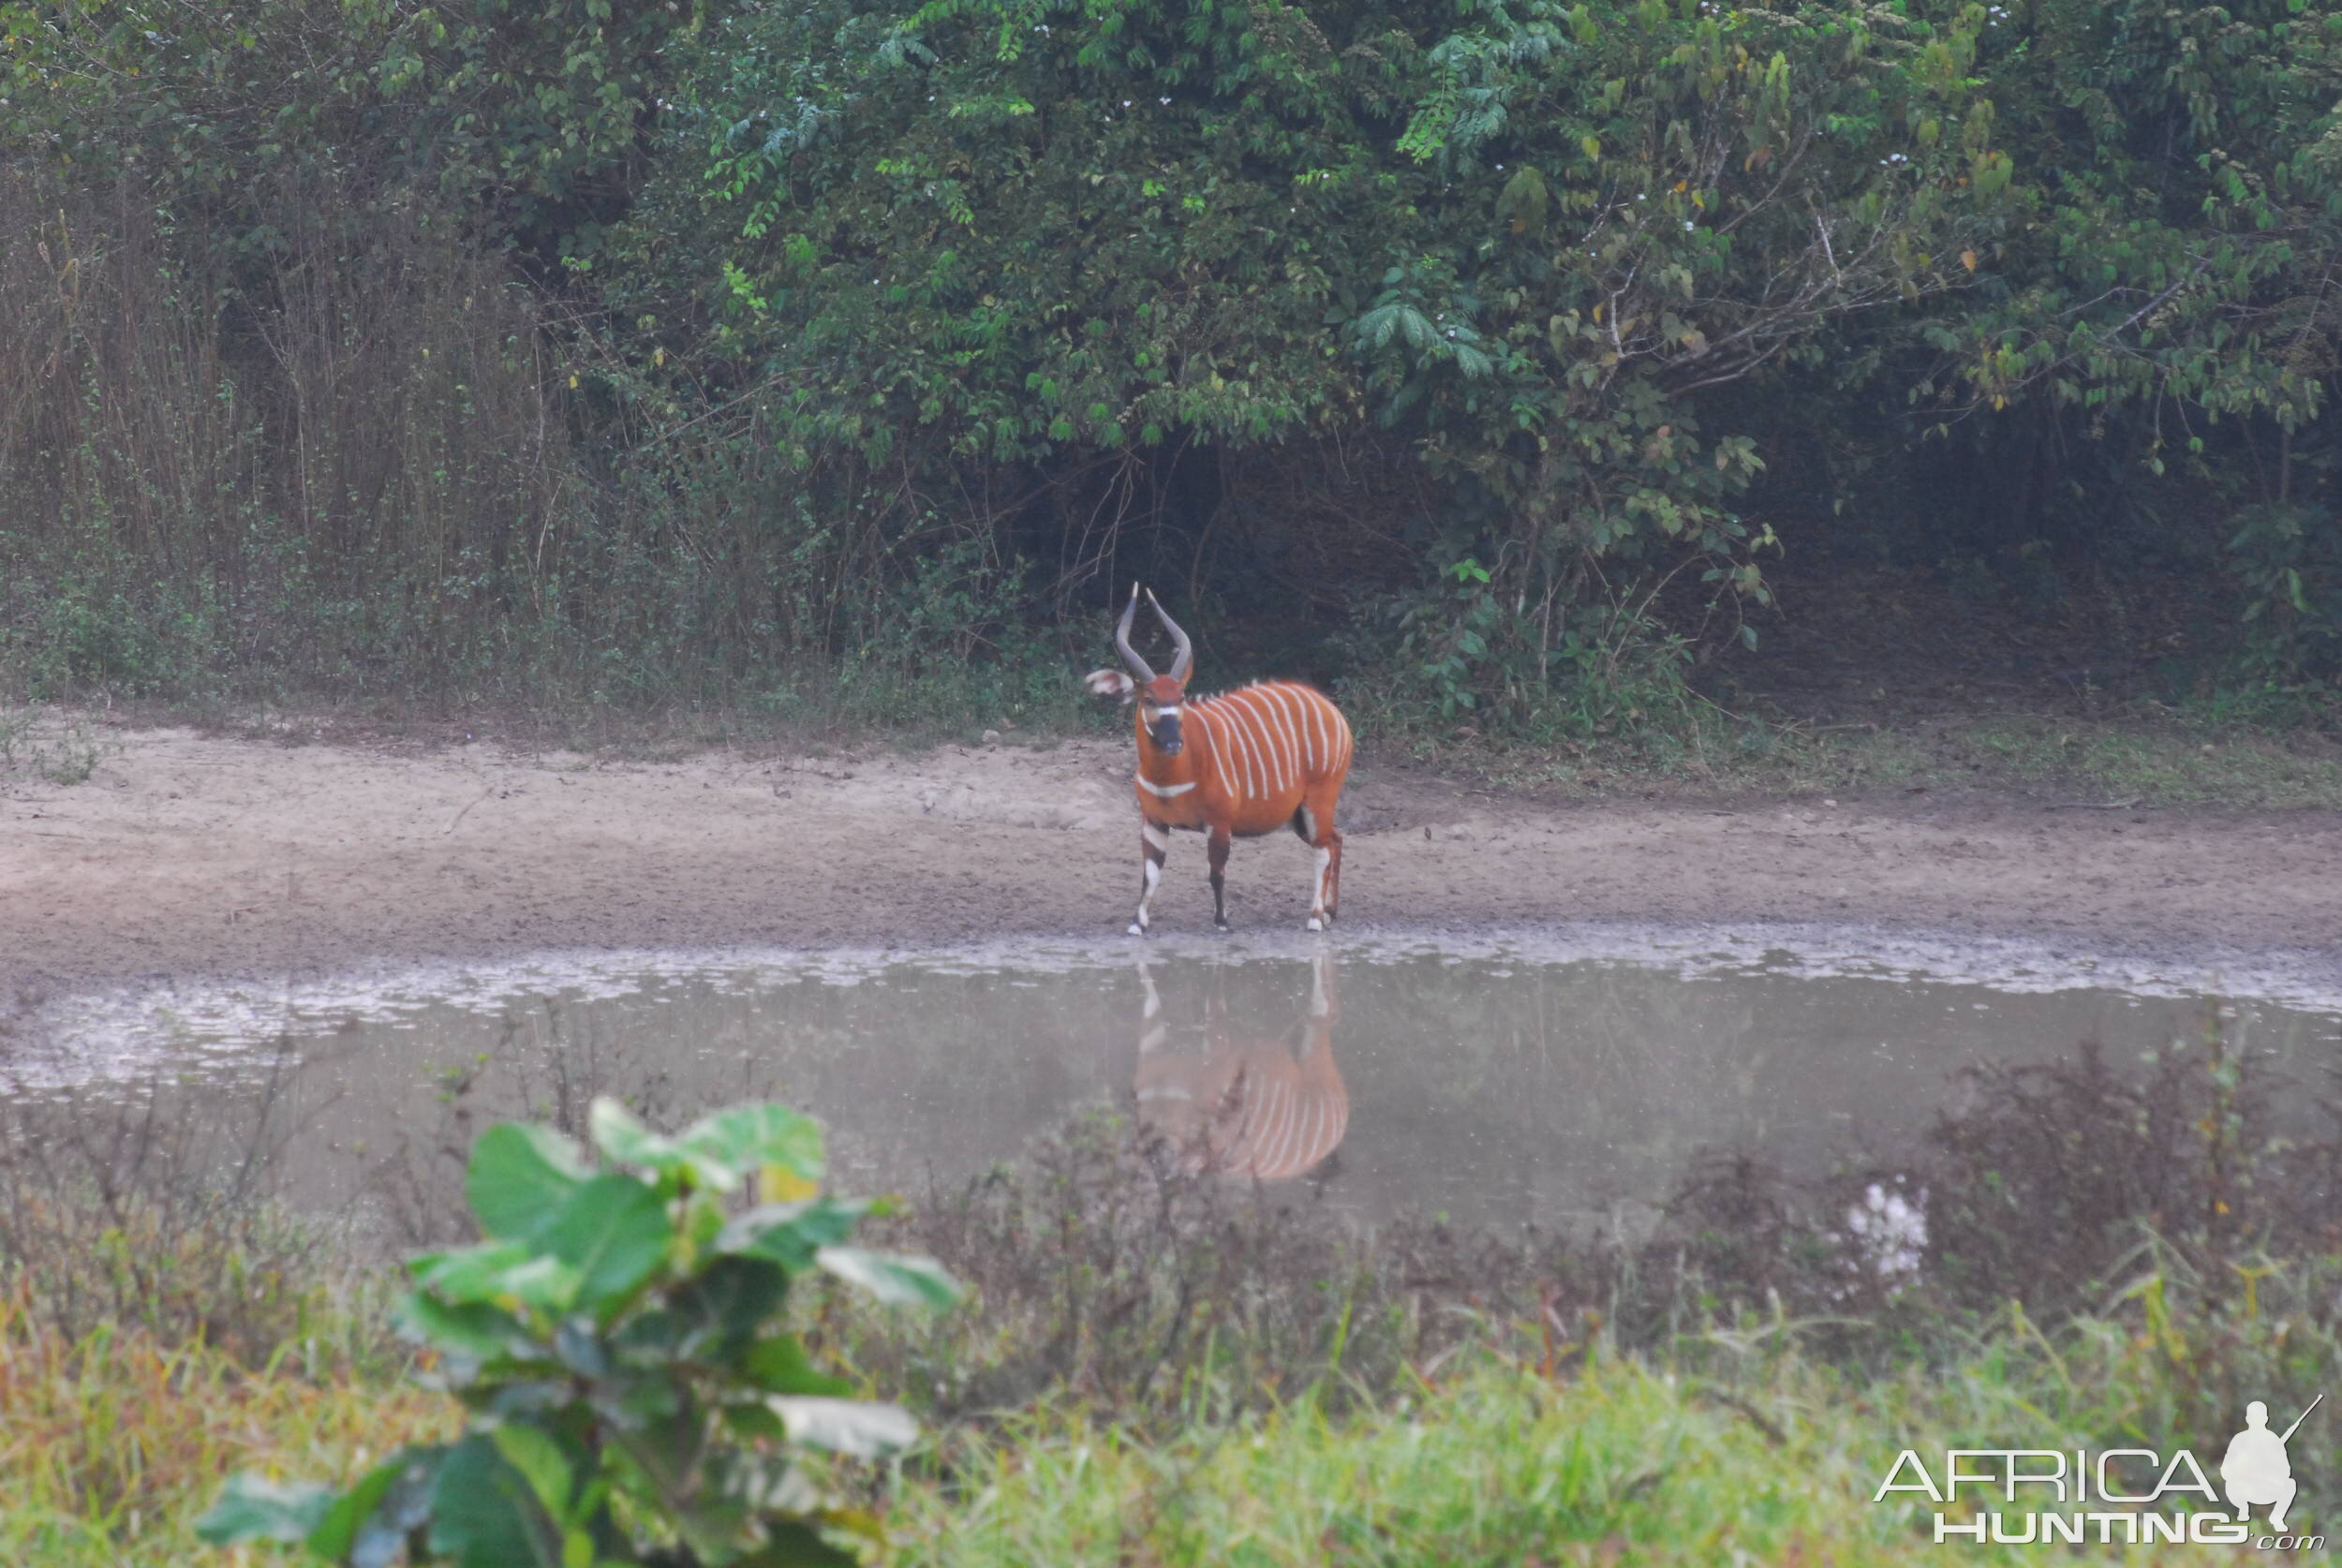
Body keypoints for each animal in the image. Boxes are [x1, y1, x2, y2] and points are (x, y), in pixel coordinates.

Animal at [1082, 587, 1358, 936]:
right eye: (1149, 699)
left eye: (1181, 697)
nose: (1174, 743)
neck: (1171, 778)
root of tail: (1330, 709)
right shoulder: (1153, 821)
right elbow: (1150, 874)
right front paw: (1137, 923)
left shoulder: (1219, 823)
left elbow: (1216, 872)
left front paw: (1222, 921)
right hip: (1297, 815)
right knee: (1335, 839)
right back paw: (1329, 912)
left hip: (1318, 800)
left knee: (1322, 849)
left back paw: (1314, 917)